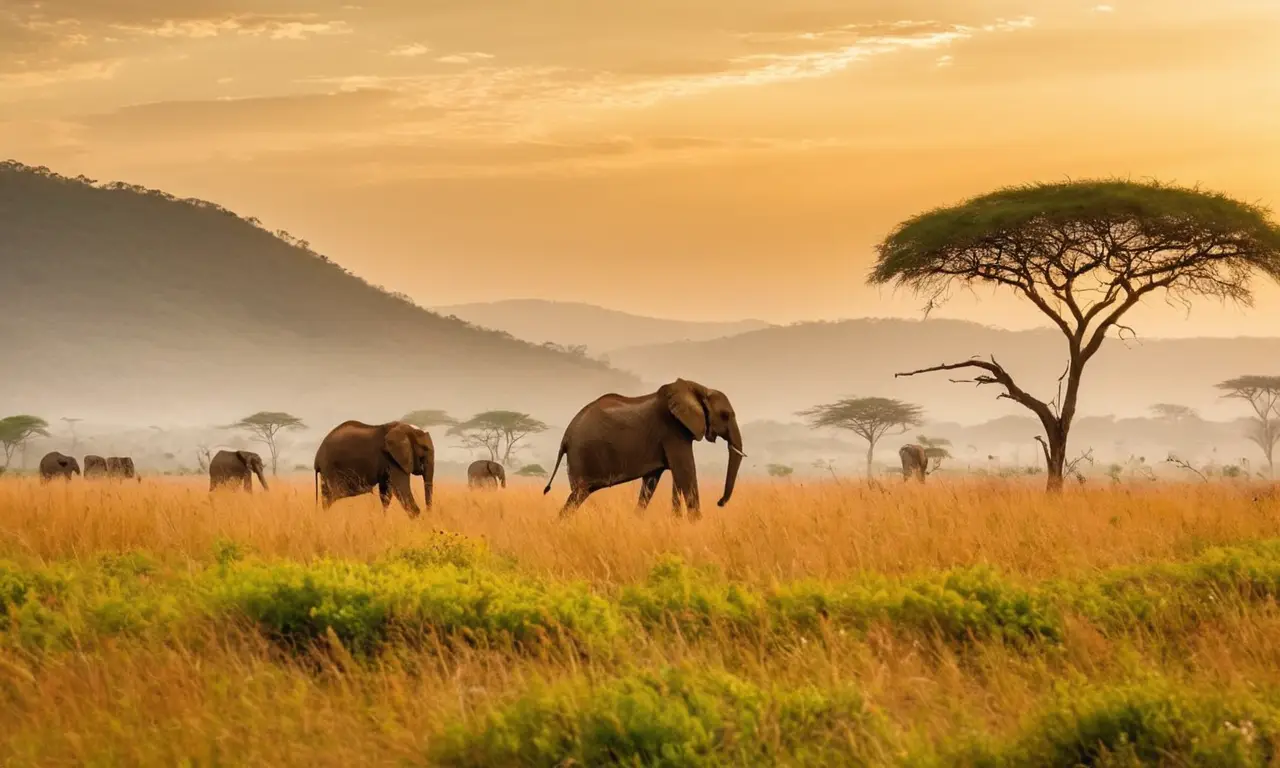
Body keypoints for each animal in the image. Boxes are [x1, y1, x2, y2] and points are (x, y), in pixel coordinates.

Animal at [543, 378, 746, 520]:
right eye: (725, 415)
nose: (720, 502)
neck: (698, 388)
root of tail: (565, 437)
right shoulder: (672, 429)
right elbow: (686, 471)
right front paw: (696, 523)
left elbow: (653, 481)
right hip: (582, 455)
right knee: (577, 495)